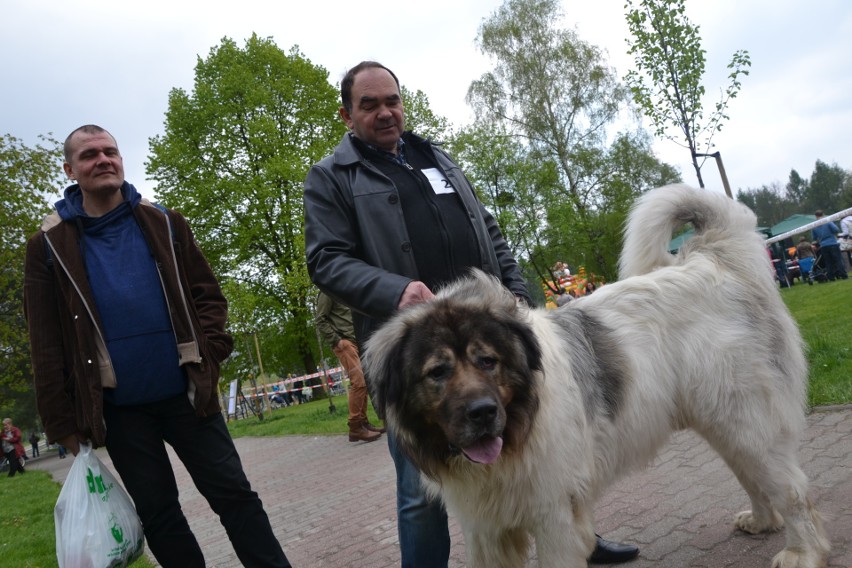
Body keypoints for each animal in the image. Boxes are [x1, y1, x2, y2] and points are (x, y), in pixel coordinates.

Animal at [362, 184, 828, 564]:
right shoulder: (486, 529)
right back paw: (762, 520)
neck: (521, 422)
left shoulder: (553, 517)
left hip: (744, 416)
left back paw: (802, 553)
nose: (482, 413)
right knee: (753, 474)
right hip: (724, 419)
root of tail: (711, 260)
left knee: (791, 489)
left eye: (487, 361)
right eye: (437, 371)